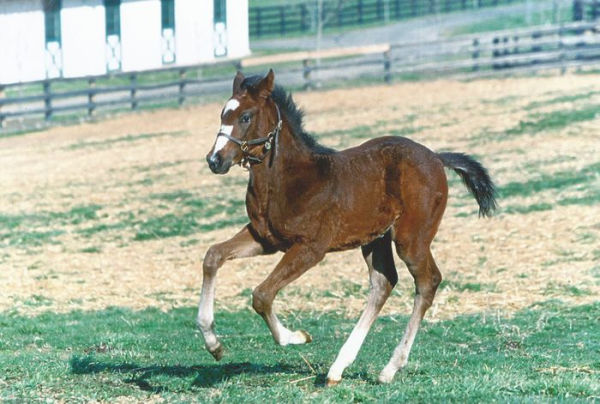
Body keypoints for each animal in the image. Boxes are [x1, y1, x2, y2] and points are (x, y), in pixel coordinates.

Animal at [198, 69, 496, 386]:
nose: (215, 160)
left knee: (428, 281)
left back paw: (390, 368)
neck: (288, 180)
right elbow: (213, 256)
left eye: (246, 116)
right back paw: (338, 367)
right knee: (383, 283)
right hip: (375, 240)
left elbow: (262, 295)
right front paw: (214, 345)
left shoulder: (311, 248)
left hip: (411, 239)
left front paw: (297, 337)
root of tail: (437, 158)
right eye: (223, 114)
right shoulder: (264, 238)